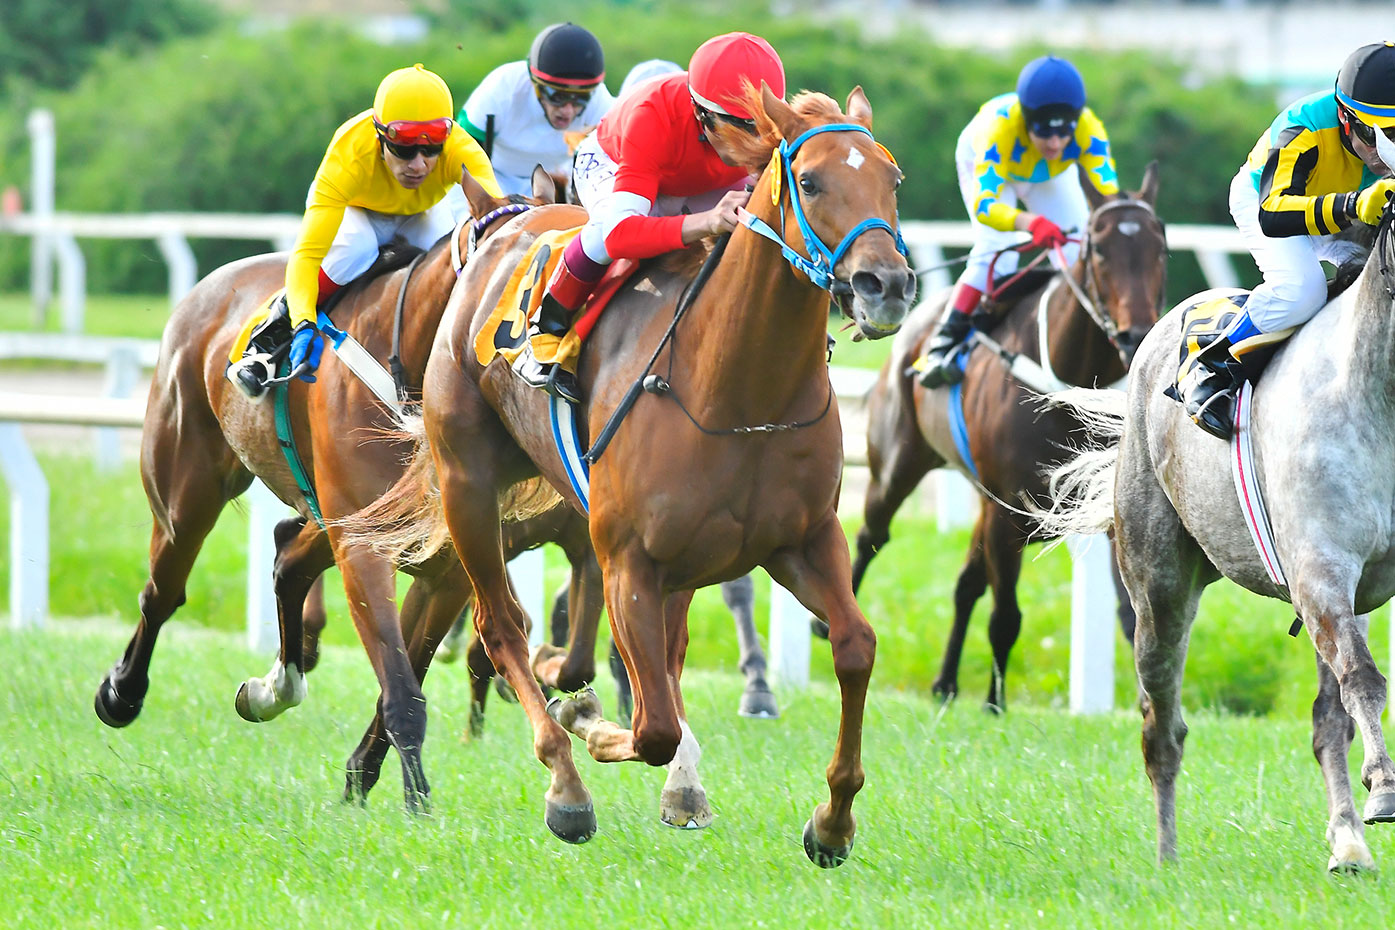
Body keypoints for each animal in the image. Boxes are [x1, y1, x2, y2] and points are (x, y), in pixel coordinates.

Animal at [349, 85, 914, 865]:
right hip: (467, 481)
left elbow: (855, 648)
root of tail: (504, 224)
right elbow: (650, 724)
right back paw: (565, 783)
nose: (884, 284)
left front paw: (832, 821)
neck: (739, 391)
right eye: (812, 181)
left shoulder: (802, 540)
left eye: (893, 179)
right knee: (501, 627)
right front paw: (584, 722)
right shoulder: (627, 560)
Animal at [844, 164, 1166, 711]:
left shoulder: (1104, 508)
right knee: (871, 536)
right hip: (898, 465)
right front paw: (995, 704)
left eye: (1160, 245)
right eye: (1100, 250)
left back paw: (946, 682)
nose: (1134, 334)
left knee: (965, 583)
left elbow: (1133, 615)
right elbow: (1006, 617)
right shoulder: (1007, 509)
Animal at [1038, 207, 1395, 872]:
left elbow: (1343, 699)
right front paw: (1384, 786)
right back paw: (1167, 856)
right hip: (1160, 589)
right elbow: (1363, 677)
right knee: (1162, 726)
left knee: (1326, 719)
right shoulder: (1321, 569)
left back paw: (1348, 841)